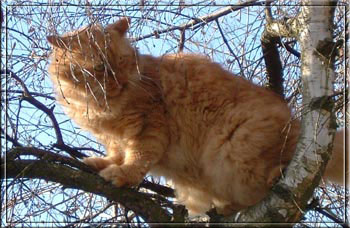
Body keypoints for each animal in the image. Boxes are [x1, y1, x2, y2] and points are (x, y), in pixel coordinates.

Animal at [46, 17, 344, 216]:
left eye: (122, 62)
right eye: (100, 68)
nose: (119, 81)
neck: (97, 108)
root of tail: (297, 123)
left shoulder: (149, 126)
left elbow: (137, 159)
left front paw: (123, 175)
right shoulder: (112, 138)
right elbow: (116, 153)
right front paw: (101, 163)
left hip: (238, 146)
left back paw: (275, 175)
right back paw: (226, 208)